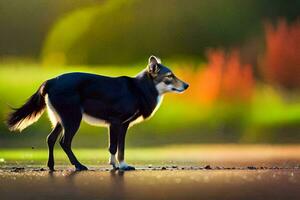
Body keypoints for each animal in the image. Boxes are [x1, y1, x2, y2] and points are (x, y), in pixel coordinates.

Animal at [6, 55, 188, 171]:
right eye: (169, 76)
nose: (187, 85)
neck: (140, 88)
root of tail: (50, 81)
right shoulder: (118, 123)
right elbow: (116, 147)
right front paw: (120, 166)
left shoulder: (117, 125)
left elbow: (115, 147)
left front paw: (117, 165)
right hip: (73, 119)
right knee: (64, 142)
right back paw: (78, 165)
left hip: (61, 119)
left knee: (50, 139)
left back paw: (51, 166)